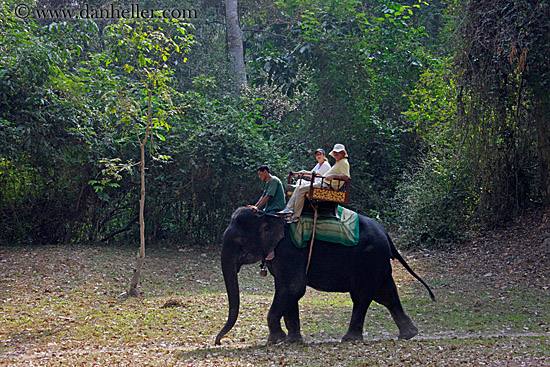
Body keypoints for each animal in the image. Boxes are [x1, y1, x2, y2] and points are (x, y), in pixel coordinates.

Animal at [216, 208, 436, 346]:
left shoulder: (289, 251)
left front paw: (275, 340)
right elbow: (287, 291)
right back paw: (409, 334)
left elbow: (294, 287)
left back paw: (350, 339)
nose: (218, 342)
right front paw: (292, 341)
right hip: (378, 262)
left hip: (368, 259)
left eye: (239, 239)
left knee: (362, 296)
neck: (268, 214)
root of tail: (387, 236)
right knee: (387, 294)